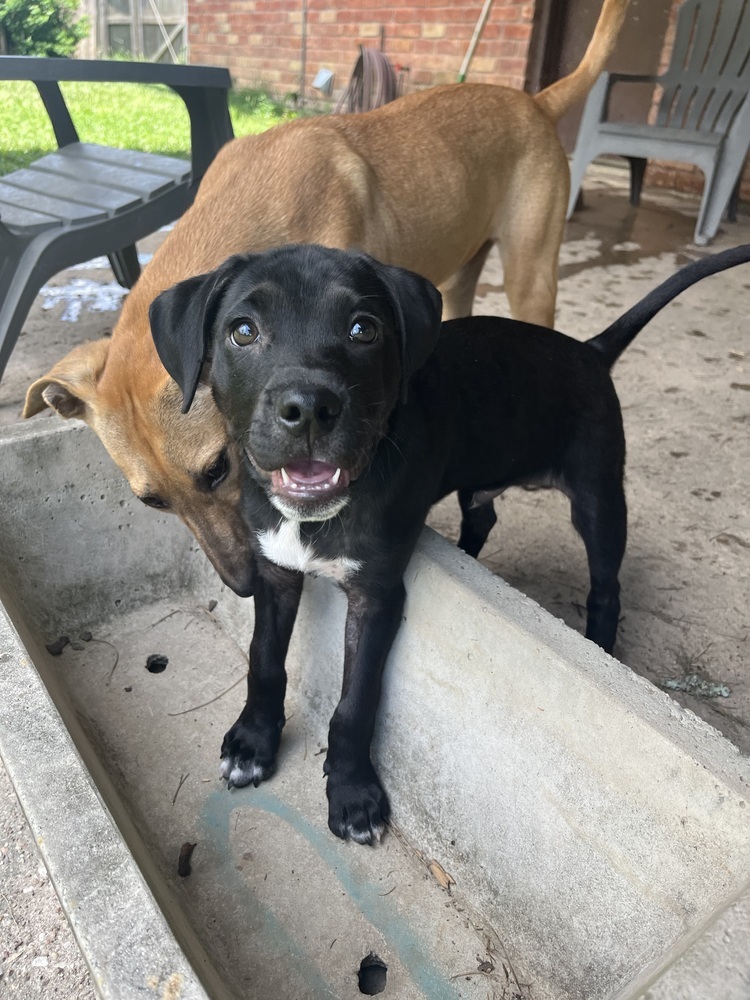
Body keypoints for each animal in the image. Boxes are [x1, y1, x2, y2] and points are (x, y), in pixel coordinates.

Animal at [25, 1, 628, 592]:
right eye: (152, 502)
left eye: (217, 468)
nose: (244, 585)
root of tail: (536, 100)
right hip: (461, 281)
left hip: (531, 275)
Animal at [151, 242, 750, 844]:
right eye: (243, 331)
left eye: (363, 329)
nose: (308, 409)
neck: (317, 518)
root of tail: (588, 350)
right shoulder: (275, 574)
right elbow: (264, 661)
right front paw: (252, 743)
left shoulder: (377, 597)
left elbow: (355, 701)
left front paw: (353, 793)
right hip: (485, 480)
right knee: (483, 517)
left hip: (598, 496)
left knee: (607, 587)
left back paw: (601, 645)